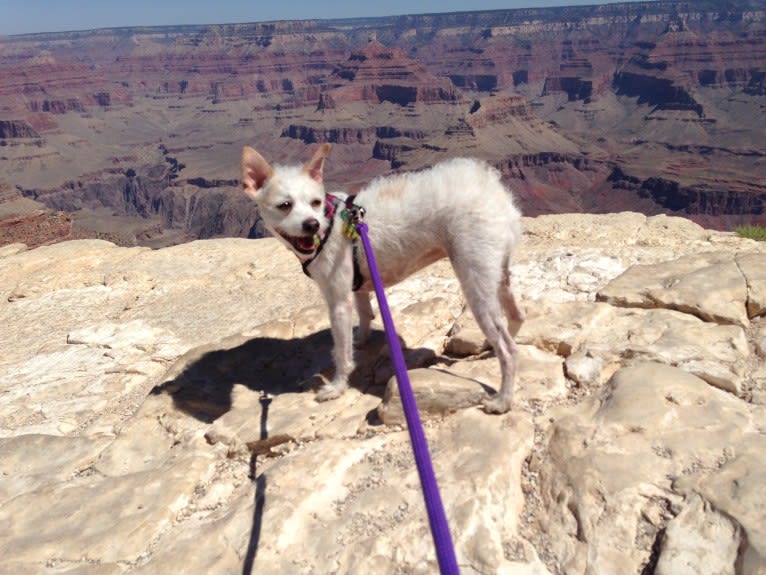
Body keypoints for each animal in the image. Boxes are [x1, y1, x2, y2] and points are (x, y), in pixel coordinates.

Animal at [243, 144, 524, 414]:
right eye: (285, 205)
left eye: (315, 202)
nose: (312, 224)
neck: (329, 222)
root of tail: (491, 187)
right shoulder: (356, 287)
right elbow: (365, 315)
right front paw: (361, 340)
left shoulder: (338, 301)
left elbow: (341, 351)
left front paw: (337, 387)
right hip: (499, 275)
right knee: (517, 317)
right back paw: (491, 350)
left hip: (476, 284)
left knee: (509, 350)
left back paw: (502, 401)